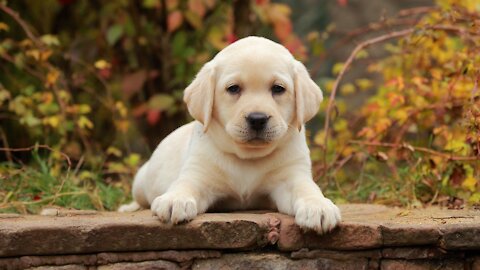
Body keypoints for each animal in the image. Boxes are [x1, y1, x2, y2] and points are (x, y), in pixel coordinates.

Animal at [122, 36, 344, 234]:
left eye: (278, 88)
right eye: (234, 88)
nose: (257, 119)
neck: (247, 157)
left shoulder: (292, 176)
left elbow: (307, 189)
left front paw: (318, 207)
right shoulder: (198, 174)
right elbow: (184, 185)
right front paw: (175, 200)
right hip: (141, 182)